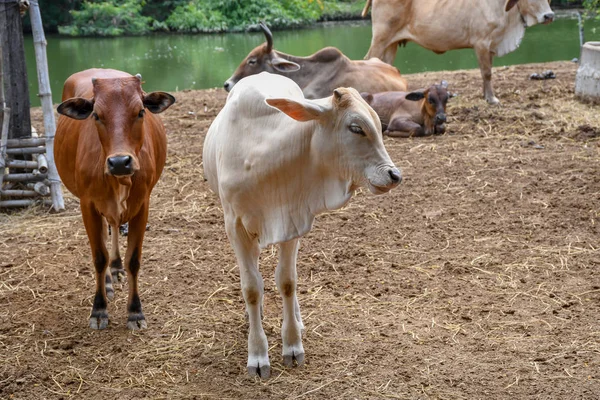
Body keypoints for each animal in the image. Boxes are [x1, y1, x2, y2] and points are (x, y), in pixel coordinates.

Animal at [203, 72, 404, 378]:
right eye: (355, 128)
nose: (394, 175)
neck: (262, 157)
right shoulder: (235, 226)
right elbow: (251, 288)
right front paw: (257, 354)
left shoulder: (291, 220)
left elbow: (287, 282)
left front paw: (292, 345)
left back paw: (296, 319)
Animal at [360, 0, 552, 104]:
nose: (549, 16)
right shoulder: (481, 42)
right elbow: (487, 72)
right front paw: (492, 99)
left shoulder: (489, 46)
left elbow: (487, 72)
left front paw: (486, 96)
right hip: (381, 38)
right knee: (368, 61)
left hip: (391, 43)